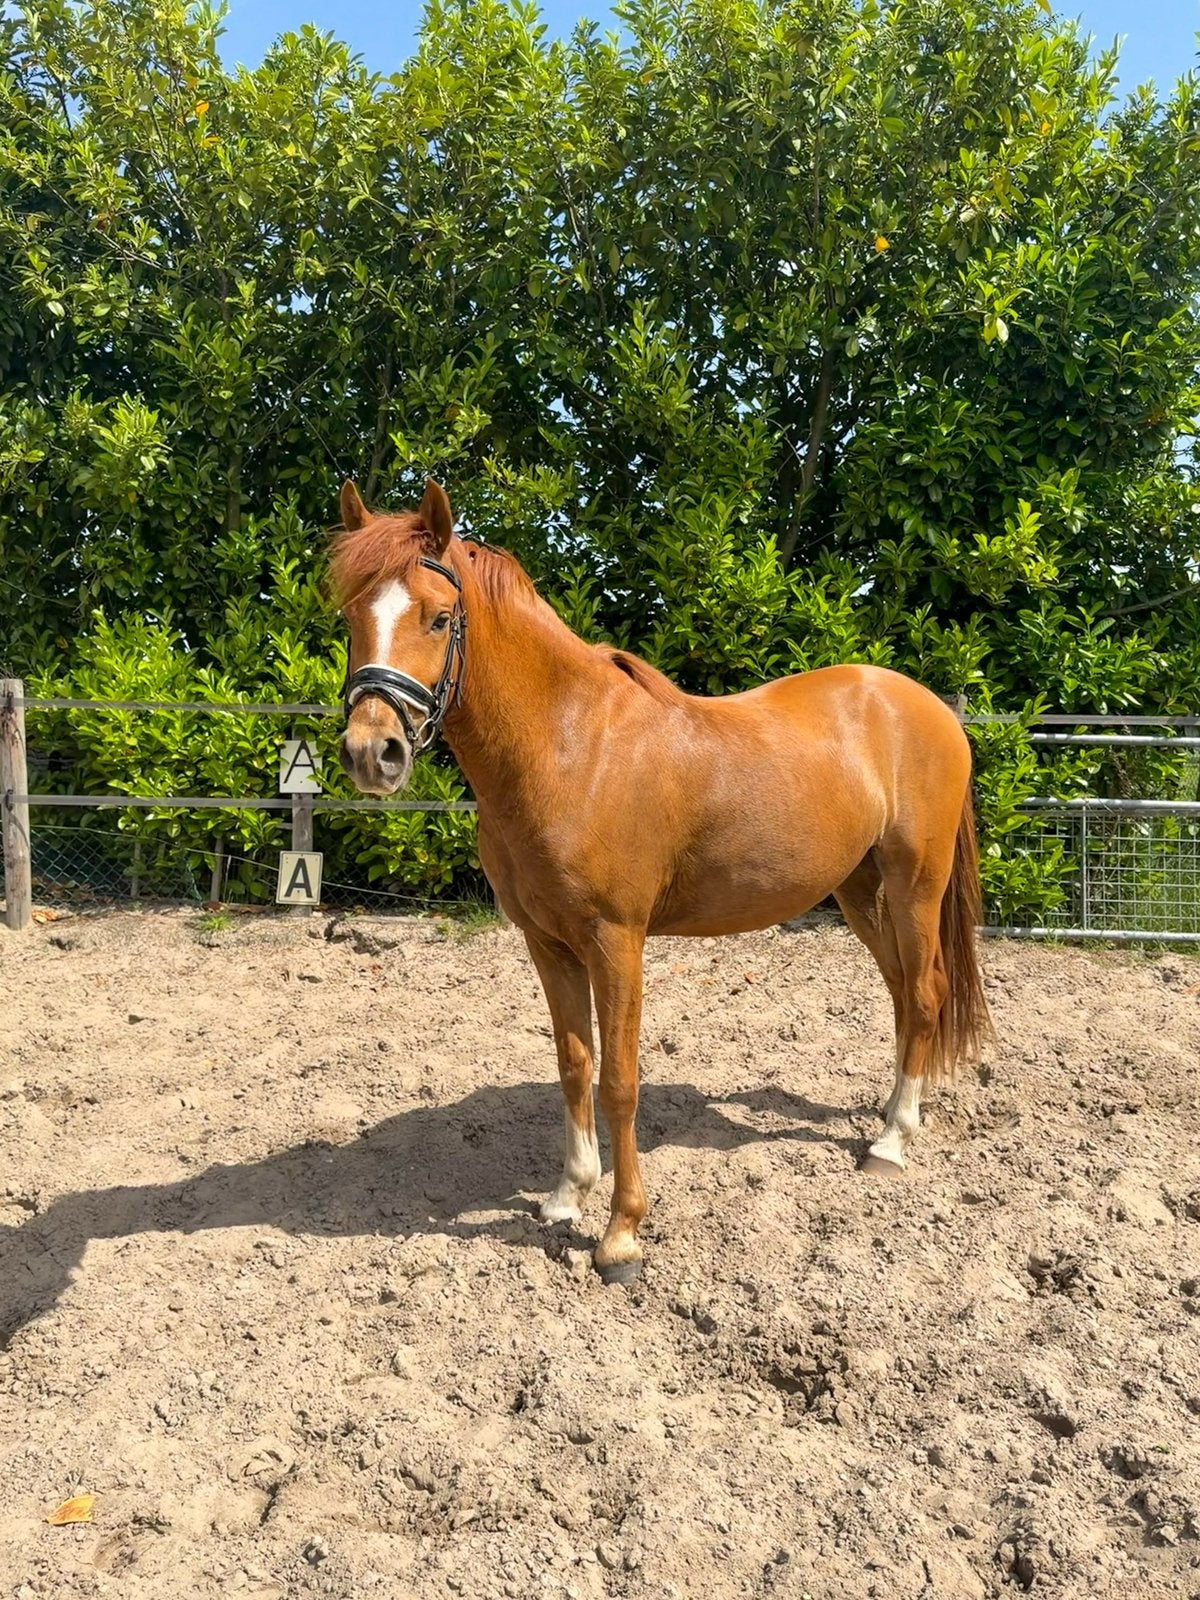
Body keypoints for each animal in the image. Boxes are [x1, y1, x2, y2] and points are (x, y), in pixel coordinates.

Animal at [330, 479, 991, 1284]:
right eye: (352, 615)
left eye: (439, 616)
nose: (373, 753)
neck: (569, 747)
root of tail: (928, 708)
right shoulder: (547, 944)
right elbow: (574, 1064)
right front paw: (566, 1198)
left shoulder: (617, 942)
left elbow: (620, 1080)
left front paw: (621, 1235)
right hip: (859, 891)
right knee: (902, 994)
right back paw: (896, 1116)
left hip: (915, 883)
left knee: (925, 992)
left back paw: (893, 1142)